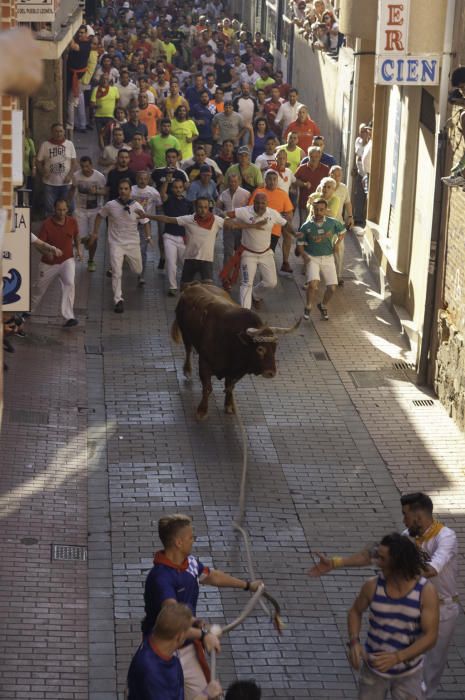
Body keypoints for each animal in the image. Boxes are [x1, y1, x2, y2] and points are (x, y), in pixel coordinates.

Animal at [170, 282, 300, 418]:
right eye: (260, 349)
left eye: (275, 348)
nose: (271, 373)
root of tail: (193, 285)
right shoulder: (205, 363)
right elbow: (207, 388)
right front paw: (202, 410)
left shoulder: (236, 372)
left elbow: (230, 387)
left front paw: (229, 405)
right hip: (185, 333)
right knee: (188, 350)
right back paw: (187, 370)